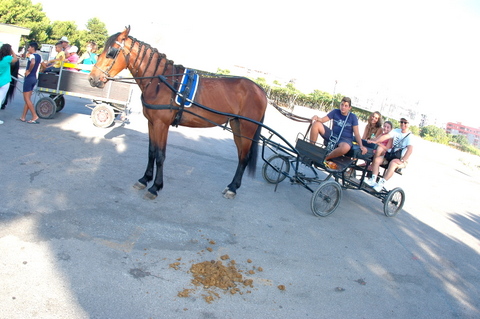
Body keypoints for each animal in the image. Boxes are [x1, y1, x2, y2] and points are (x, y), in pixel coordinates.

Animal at [89, 28, 266, 200]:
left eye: (111, 52)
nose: (92, 78)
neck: (160, 82)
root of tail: (260, 90)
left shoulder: (162, 125)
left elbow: (160, 155)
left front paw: (155, 187)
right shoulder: (151, 123)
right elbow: (151, 152)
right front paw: (145, 179)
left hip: (247, 129)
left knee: (244, 157)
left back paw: (233, 189)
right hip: (237, 126)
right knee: (241, 156)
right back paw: (231, 186)